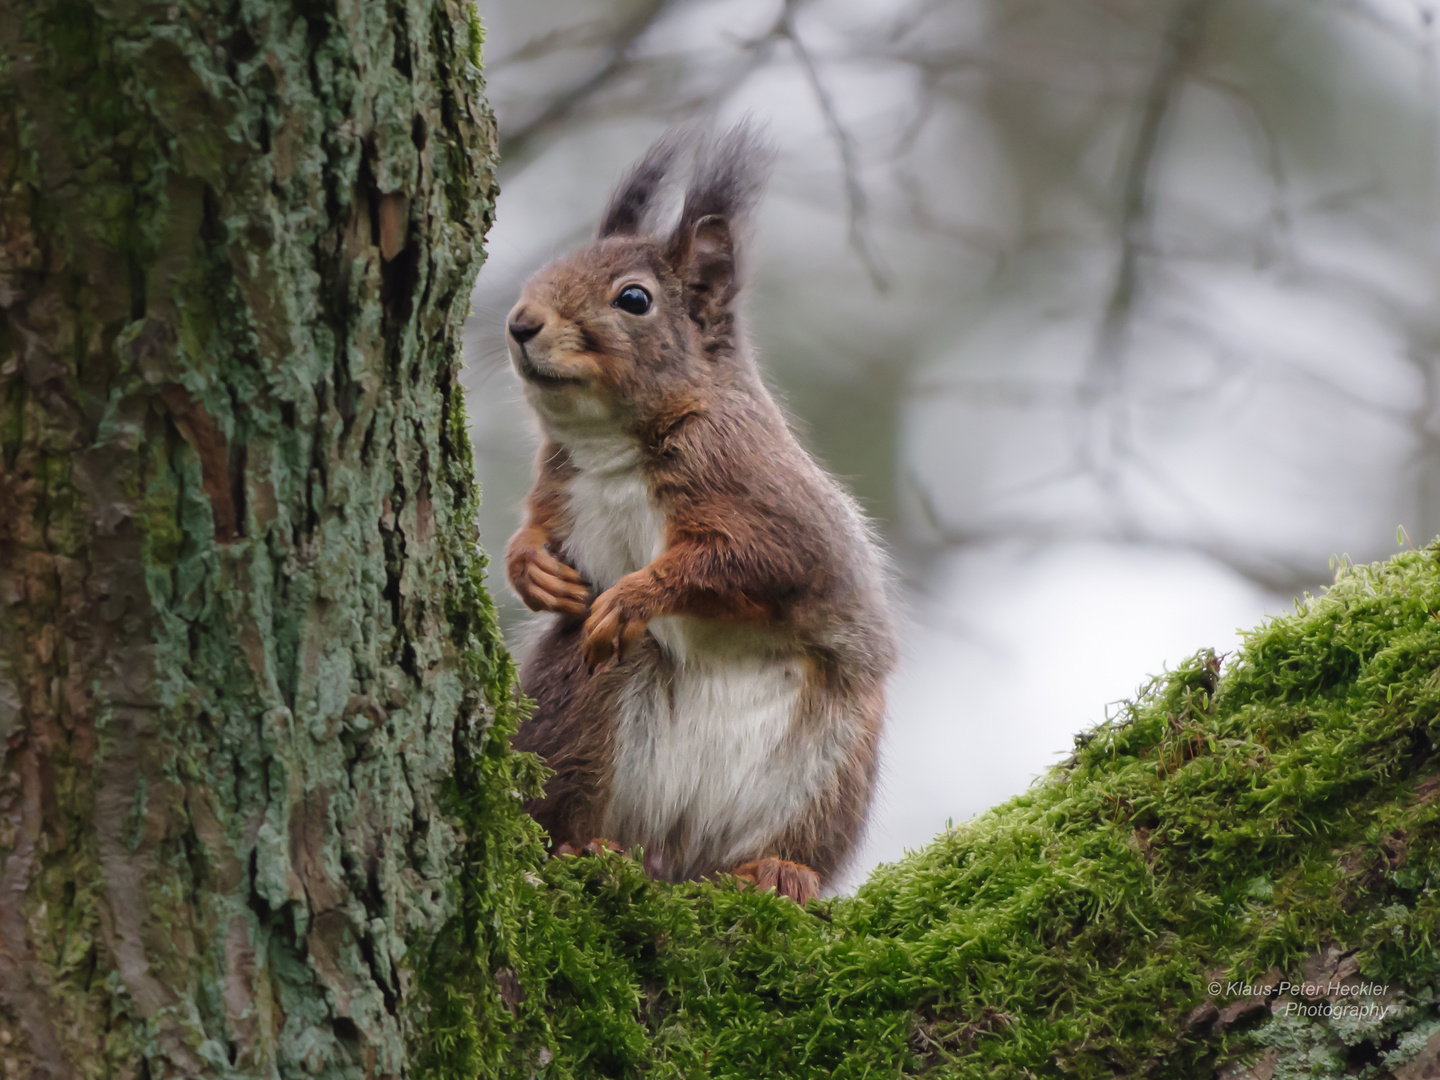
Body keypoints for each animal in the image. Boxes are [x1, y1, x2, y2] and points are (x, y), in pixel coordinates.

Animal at [501, 126, 892, 904]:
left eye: (634, 298)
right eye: (550, 268)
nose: (520, 324)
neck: (613, 445)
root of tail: (678, 856)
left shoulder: (764, 497)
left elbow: (742, 561)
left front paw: (635, 594)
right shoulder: (557, 486)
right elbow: (535, 529)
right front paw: (530, 569)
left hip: (833, 764)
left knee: (796, 842)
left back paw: (778, 870)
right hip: (586, 700)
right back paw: (590, 847)